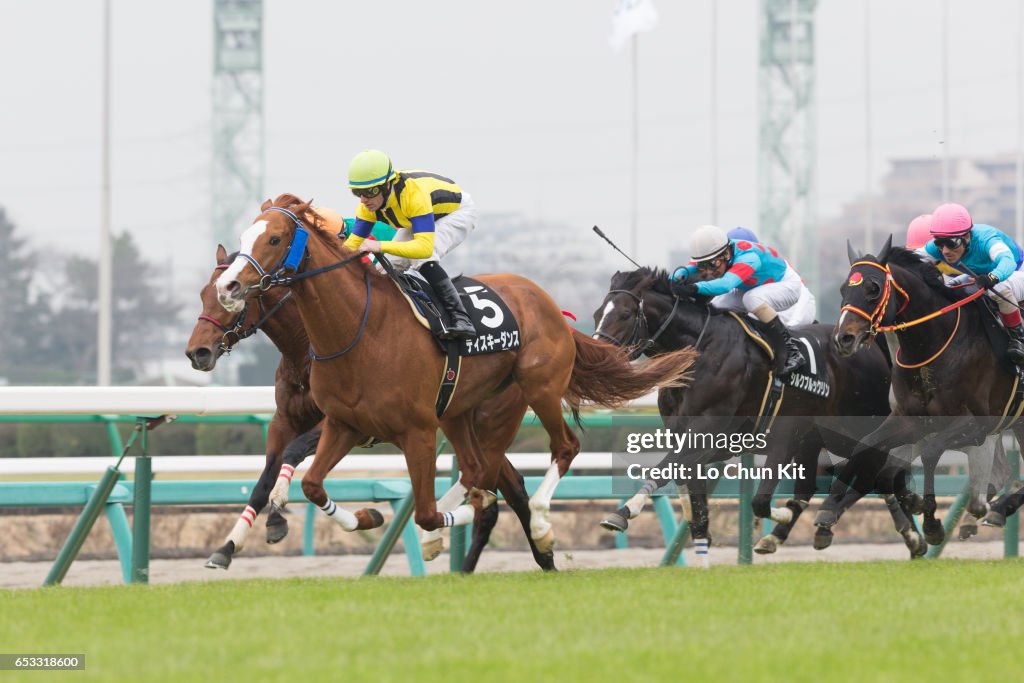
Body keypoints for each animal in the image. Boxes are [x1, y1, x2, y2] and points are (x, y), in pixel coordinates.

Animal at [188, 242, 557, 573]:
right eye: (204, 293)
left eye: (233, 297)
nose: (197, 352)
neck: (307, 346)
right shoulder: (284, 420)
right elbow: (264, 478)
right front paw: (227, 546)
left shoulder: (342, 423)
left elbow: (293, 454)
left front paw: (277, 517)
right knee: (507, 485)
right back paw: (541, 554)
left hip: (488, 420)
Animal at [215, 193, 696, 557]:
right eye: (243, 237)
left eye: (275, 238)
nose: (227, 288)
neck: (360, 331)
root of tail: (548, 303)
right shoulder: (344, 423)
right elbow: (314, 485)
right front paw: (372, 516)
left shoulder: (417, 430)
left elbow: (429, 510)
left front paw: (448, 523)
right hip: (459, 410)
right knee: (476, 468)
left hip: (536, 388)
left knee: (563, 447)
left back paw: (540, 524)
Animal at [593, 264, 897, 557]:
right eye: (597, 314)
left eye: (625, 314)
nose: (601, 356)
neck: (700, 349)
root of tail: (868, 346)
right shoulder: (697, 437)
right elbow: (685, 477)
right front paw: (700, 529)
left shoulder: (709, 426)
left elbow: (667, 467)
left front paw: (624, 511)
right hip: (813, 437)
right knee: (829, 482)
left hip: (852, 427)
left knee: (879, 467)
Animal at [827, 240, 1019, 544]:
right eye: (844, 288)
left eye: (873, 288)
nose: (843, 338)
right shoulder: (910, 419)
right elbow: (868, 447)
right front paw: (828, 511)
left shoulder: (976, 424)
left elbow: (930, 453)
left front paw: (931, 525)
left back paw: (997, 508)